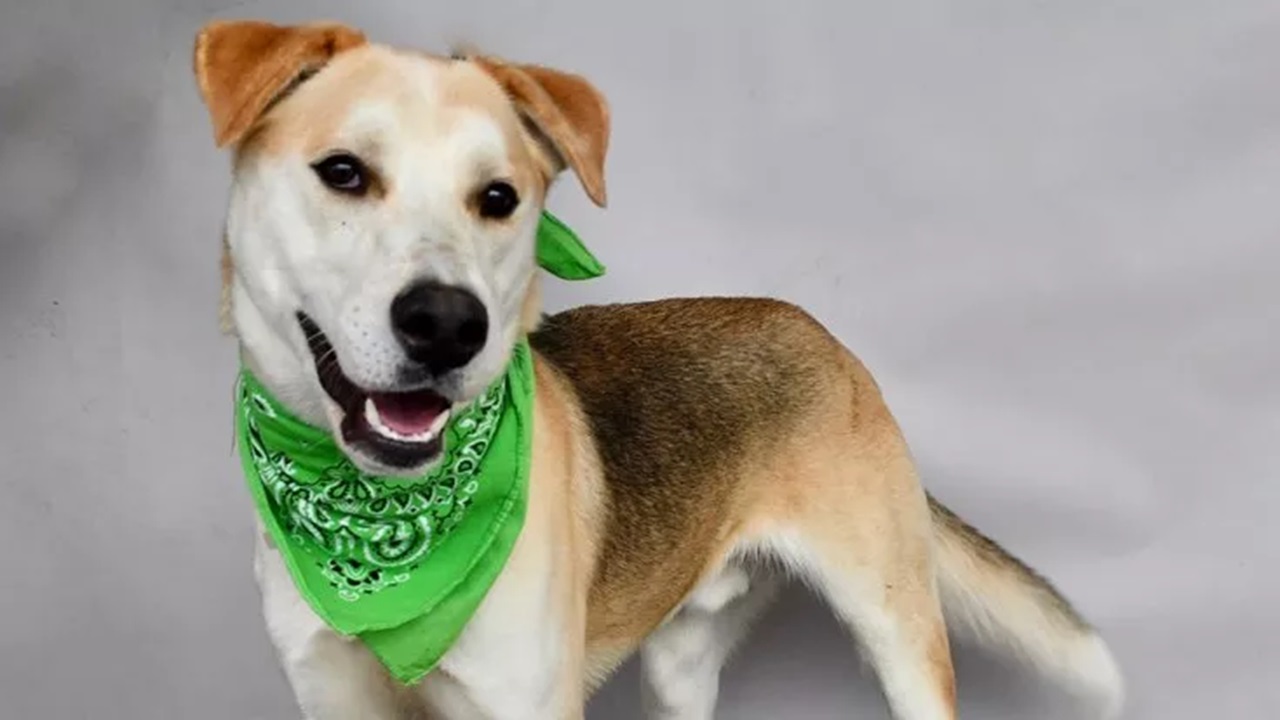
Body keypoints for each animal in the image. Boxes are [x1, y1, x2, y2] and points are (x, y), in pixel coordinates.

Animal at [189, 18, 1121, 717]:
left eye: (498, 198)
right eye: (343, 172)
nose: (450, 325)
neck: (378, 518)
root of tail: (817, 332)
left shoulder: (523, 703)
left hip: (897, 628)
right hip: (681, 663)